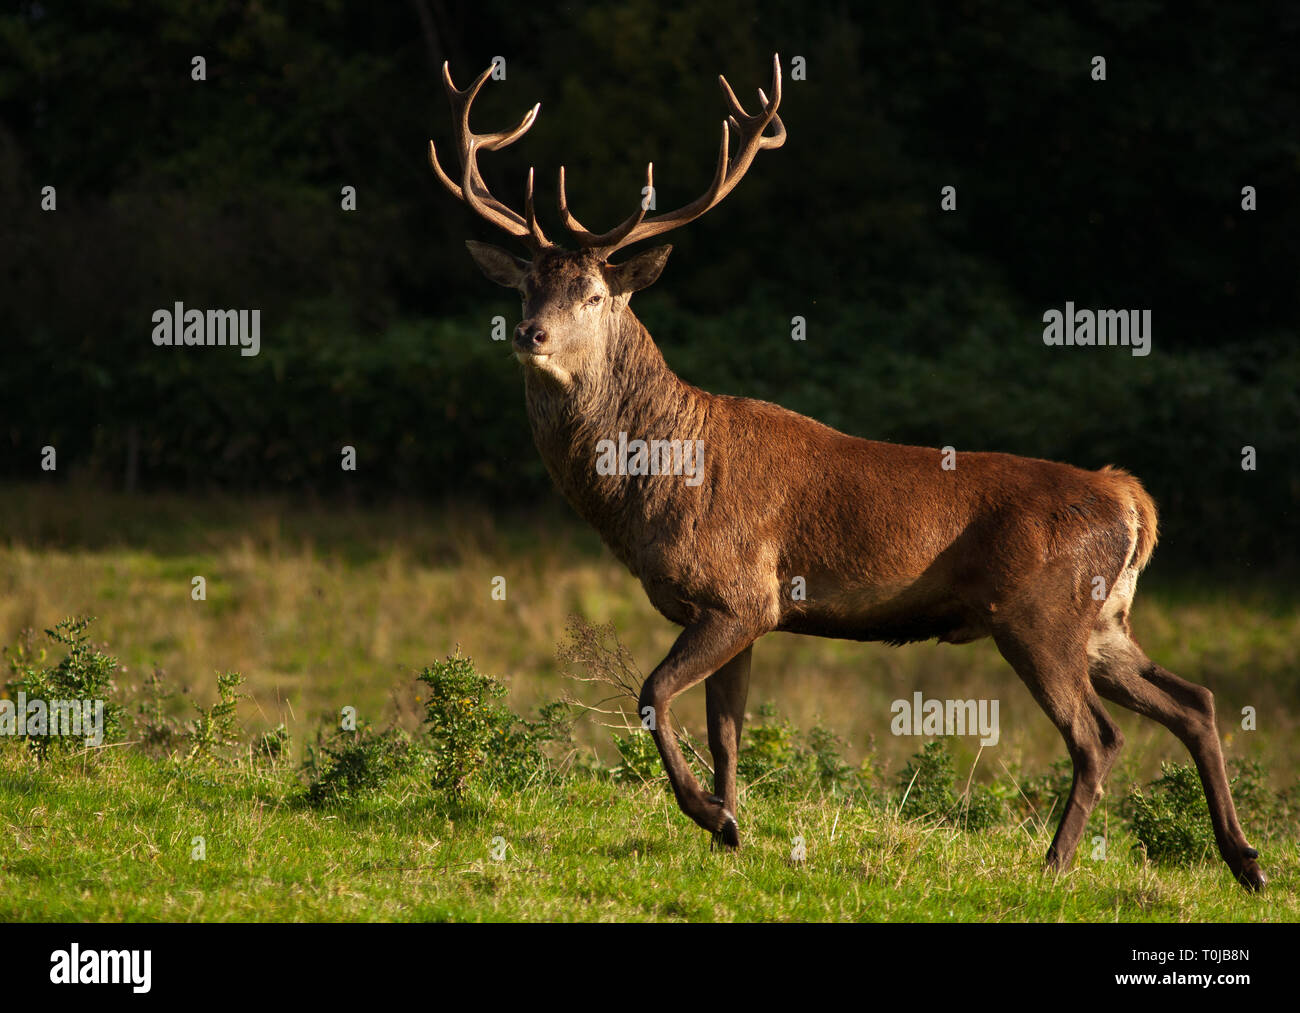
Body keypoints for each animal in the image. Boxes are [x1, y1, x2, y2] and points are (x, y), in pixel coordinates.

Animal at [431, 59, 1263, 889]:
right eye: (524, 287)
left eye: (595, 294)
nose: (529, 333)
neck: (653, 482)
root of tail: (1130, 498)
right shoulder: (746, 610)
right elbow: (728, 729)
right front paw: (729, 832)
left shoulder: (739, 591)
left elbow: (651, 694)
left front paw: (708, 816)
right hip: (1104, 618)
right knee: (1196, 700)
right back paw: (1245, 860)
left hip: (1040, 613)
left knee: (1099, 736)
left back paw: (1055, 862)